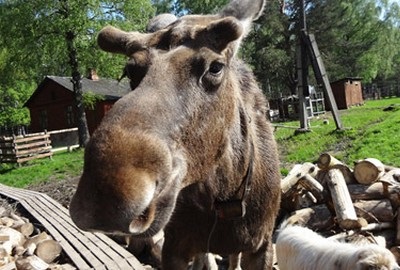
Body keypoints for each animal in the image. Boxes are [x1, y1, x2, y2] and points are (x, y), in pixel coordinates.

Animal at [69, 1, 282, 268]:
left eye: (215, 67)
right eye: (130, 71)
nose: (103, 202)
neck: (225, 195)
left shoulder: (262, 243)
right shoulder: (174, 246)